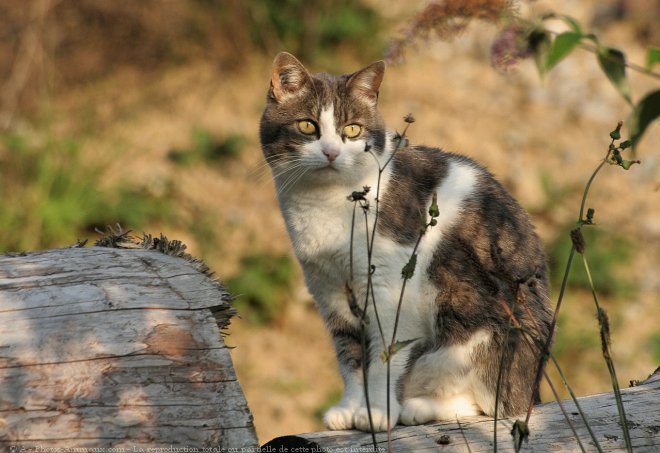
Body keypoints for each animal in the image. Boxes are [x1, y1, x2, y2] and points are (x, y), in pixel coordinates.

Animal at [258, 52, 552, 430]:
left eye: (352, 129)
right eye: (307, 126)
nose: (331, 152)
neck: (324, 203)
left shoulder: (390, 289)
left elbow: (385, 356)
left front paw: (377, 412)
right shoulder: (331, 290)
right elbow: (350, 357)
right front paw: (350, 409)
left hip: (472, 336)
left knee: (492, 404)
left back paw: (417, 408)